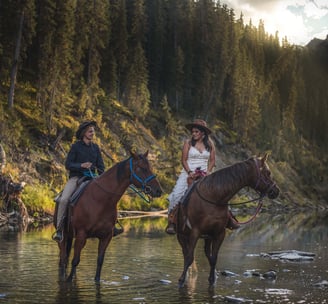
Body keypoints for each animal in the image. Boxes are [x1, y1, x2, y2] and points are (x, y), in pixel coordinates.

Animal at [57, 151, 163, 282]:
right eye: (142, 168)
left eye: (150, 167)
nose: (158, 191)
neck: (100, 200)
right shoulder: (82, 234)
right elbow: (75, 261)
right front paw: (68, 280)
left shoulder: (106, 236)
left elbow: (100, 262)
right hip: (64, 237)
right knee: (63, 259)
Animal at [177, 153, 280, 286]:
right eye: (268, 172)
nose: (276, 191)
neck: (214, 197)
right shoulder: (195, 232)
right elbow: (189, 257)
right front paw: (181, 280)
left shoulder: (219, 233)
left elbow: (213, 258)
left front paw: (212, 279)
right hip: (182, 235)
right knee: (186, 253)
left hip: (207, 237)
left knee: (206, 253)